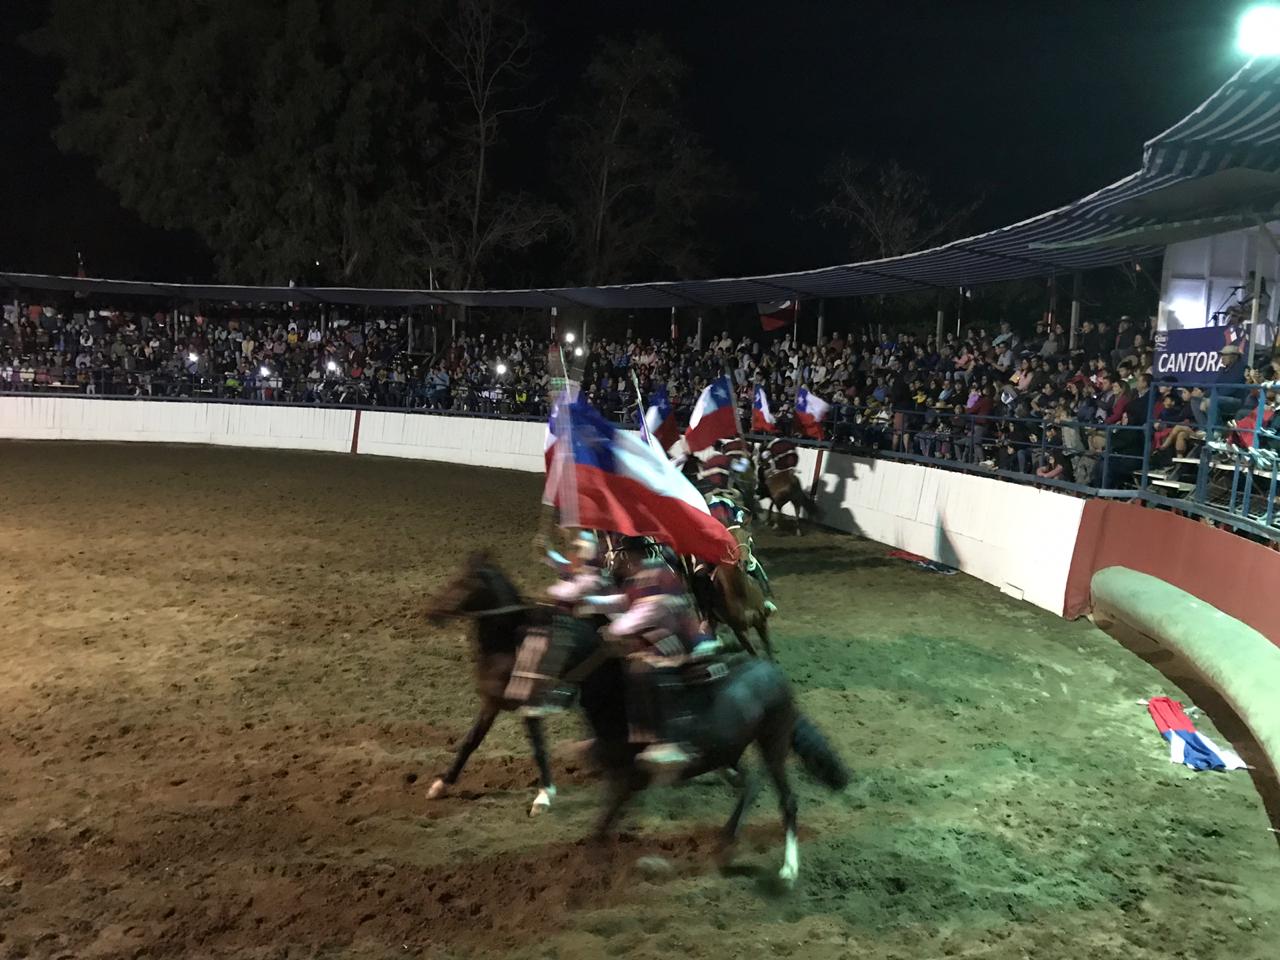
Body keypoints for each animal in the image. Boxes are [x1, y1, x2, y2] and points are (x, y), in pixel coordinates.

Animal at [424, 553, 558, 817]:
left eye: (463, 582)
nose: (431, 612)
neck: (511, 646)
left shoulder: (530, 706)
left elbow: (539, 747)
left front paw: (544, 797)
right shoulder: (491, 702)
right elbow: (470, 741)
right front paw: (441, 784)